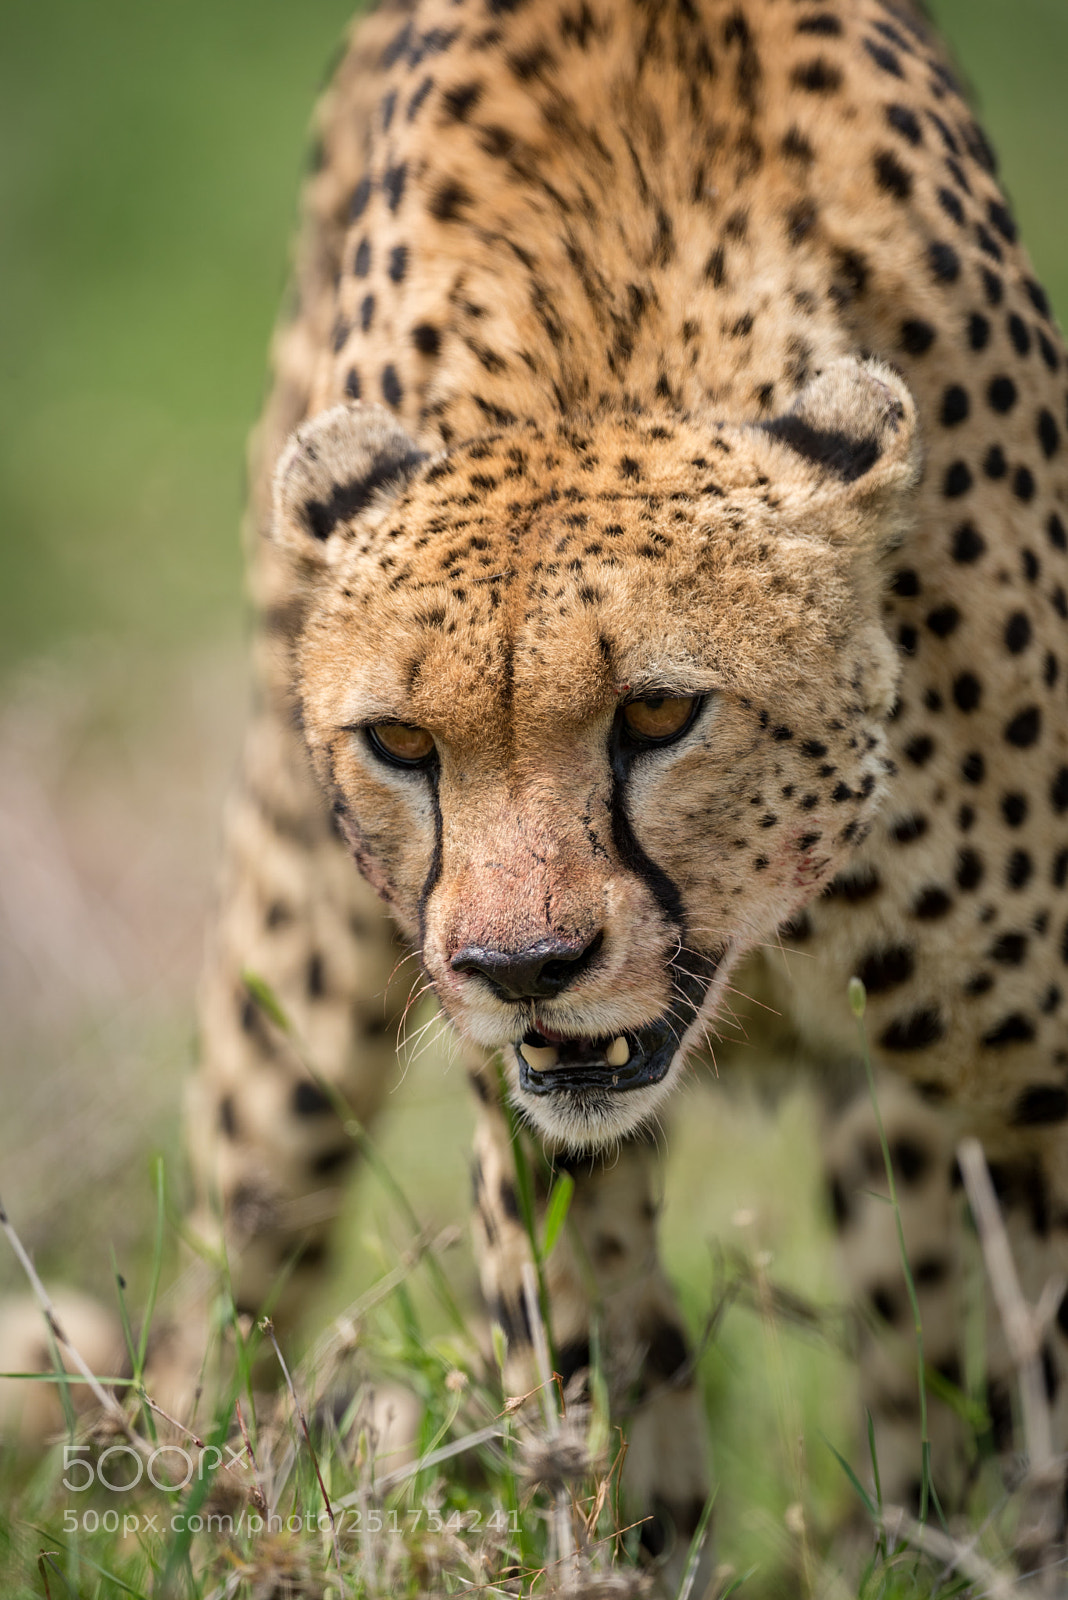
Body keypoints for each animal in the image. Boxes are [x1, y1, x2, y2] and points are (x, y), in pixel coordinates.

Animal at [173, 0, 1068, 1580]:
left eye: (658, 711)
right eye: (402, 742)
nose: (523, 965)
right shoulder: (538, 1135)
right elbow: (597, 1400)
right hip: (293, 989)